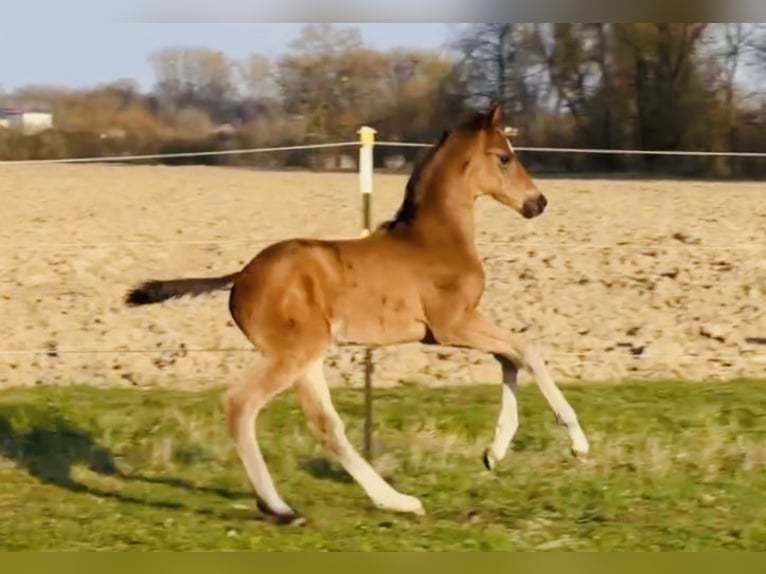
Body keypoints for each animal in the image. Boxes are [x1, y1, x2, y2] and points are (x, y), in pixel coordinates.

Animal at [124, 103, 590, 524]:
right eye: (505, 157)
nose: (538, 202)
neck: (435, 239)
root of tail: (240, 277)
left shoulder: (459, 325)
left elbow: (508, 359)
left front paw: (494, 453)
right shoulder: (452, 324)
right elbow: (525, 351)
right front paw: (577, 443)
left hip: (307, 356)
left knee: (326, 425)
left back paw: (395, 501)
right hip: (294, 352)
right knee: (241, 405)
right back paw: (280, 509)